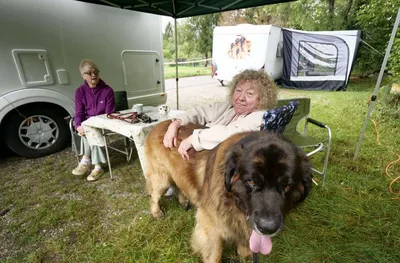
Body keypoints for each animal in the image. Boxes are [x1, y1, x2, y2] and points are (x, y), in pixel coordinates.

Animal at [144, 120, 312, 262]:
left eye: (287, 186)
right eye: (252, 181)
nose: (267, 228)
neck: (231, 199)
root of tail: (161, 123)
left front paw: (245, 252)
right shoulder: (210, 224)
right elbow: (215, 253)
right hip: (162, 178)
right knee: (154, 195)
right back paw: (156, 212)